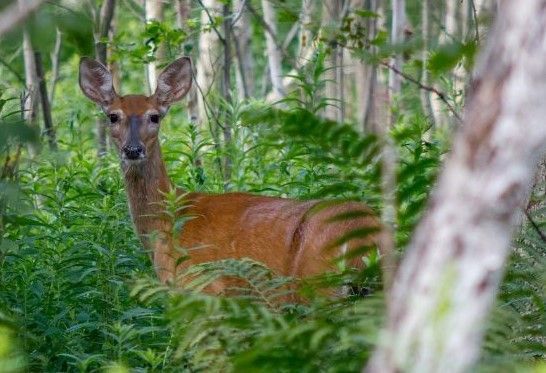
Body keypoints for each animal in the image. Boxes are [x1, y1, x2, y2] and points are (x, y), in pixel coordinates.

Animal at [78, 56, 380, 294]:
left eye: (155, 116)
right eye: (113, 116)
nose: (133, 149)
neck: (168, 220)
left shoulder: (203, 289)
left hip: (316, 285)